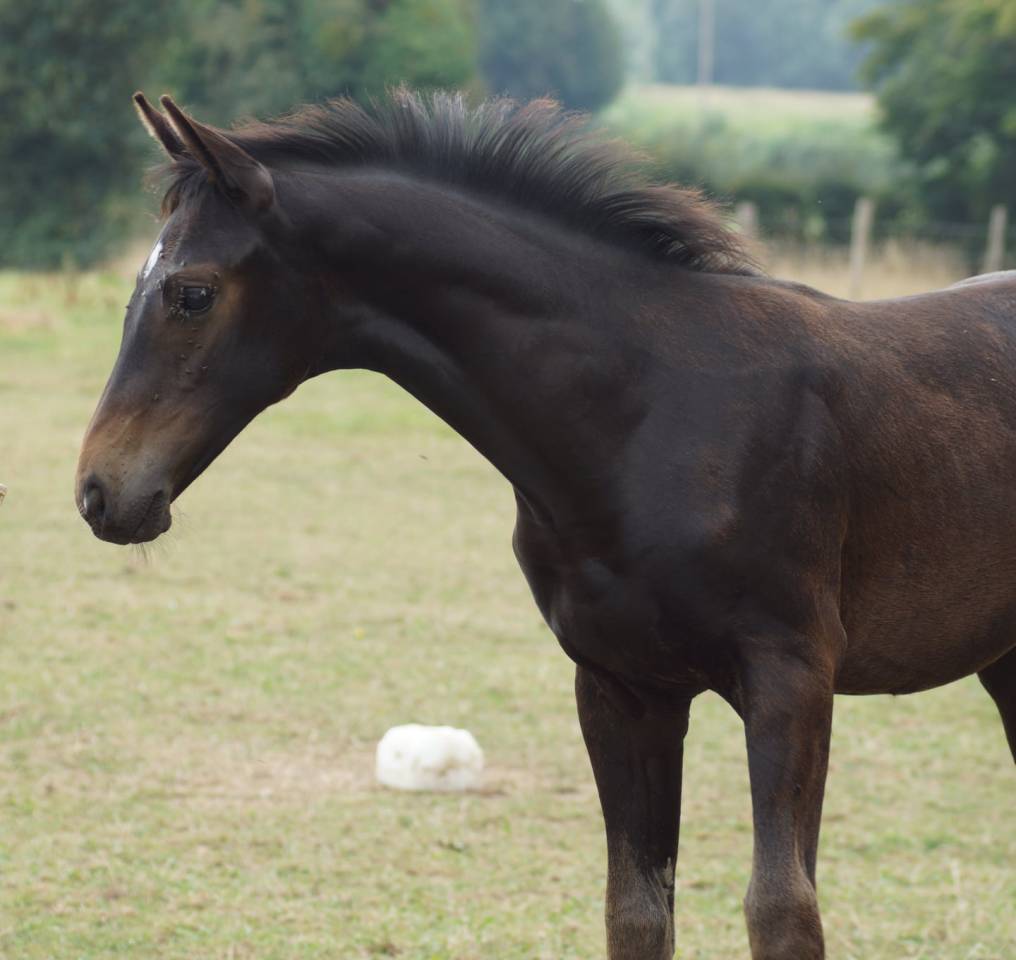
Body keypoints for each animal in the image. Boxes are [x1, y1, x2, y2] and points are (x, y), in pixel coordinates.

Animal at [75, 91, 1015, 960]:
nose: (99, 491)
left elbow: (781, 911)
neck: (649, 412)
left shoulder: (791, 677)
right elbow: (636, 913)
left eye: (192, 294)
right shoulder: (619, 686)